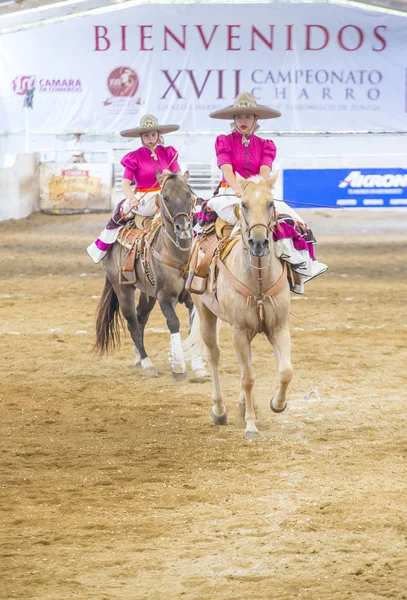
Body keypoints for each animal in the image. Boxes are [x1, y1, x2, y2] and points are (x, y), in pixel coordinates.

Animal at [93, 172, 206, 380]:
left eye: (188, 195)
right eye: (166, 198)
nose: (183, 228)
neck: (179, 255)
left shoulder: (191, 297)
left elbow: (194, 324)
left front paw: (199, 366)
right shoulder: (165, 296)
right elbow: (173, 322)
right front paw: (178, 368)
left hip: (148, 293)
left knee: (141, 318)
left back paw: (139, 357)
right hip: (123, 290)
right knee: (132, 321)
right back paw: (147, 362)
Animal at [185, 171, 294, 438]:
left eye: (271, 203)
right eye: (243, 204)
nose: (258, 243)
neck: (258, 282)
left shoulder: (278, 327)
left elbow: (285, 371)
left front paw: (277, 403)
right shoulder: (239, 331)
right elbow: (248, 379)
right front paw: (251, 426)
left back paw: (244, 404)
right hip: (206, 315)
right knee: (214, 356)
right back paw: (220, 410)